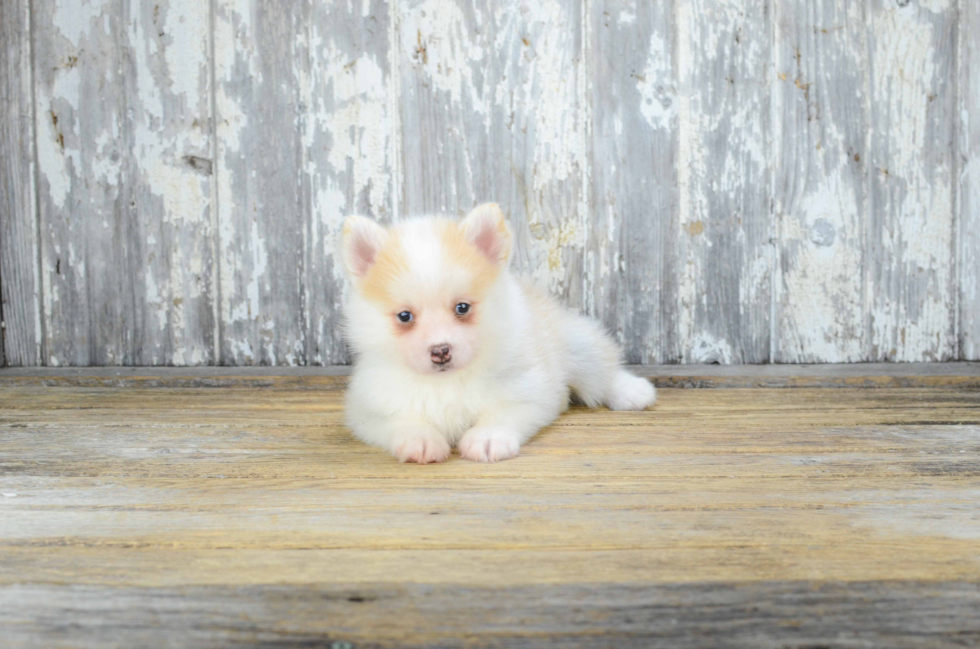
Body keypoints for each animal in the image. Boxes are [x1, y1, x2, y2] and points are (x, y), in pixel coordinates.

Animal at [340, 202, 656, 460]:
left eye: (462, 307)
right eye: (405, 316)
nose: (440, 351)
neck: (448, 381)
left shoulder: (528, 388)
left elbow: (501, 413)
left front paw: (487, 438)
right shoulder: (369, 409)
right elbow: (403, 420)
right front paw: (421, 439)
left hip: (577, 348)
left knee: (602, 375)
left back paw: (633, 391)